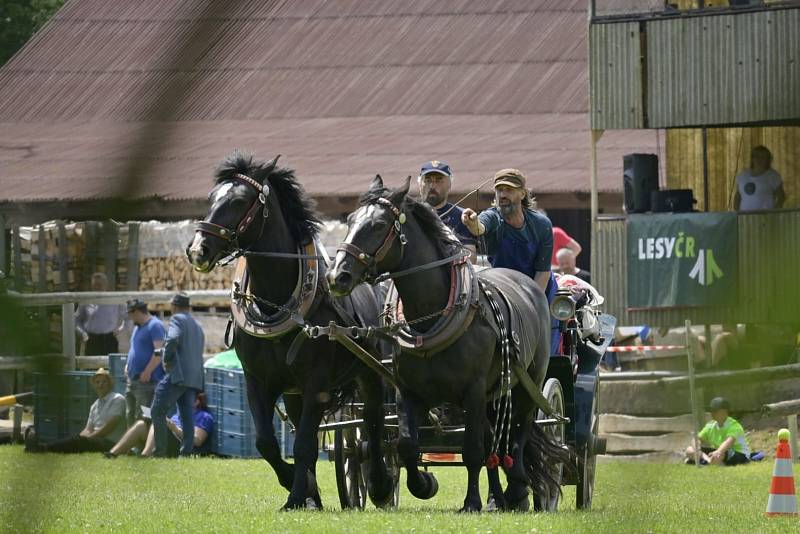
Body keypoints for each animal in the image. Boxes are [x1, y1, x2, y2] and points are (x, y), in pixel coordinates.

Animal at [188, 153, 394, 512]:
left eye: (239, 201)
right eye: (211, 198)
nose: (199, 250)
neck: (275, 302)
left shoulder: (317, 381)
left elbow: (303, 444)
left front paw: (297, 494)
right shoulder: (258, 380)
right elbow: (268, 442)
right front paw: (300, 489)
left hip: (370, 373)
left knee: (372, 422)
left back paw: (380, 486)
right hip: (296, 391)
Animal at [326, 177, 568, 516]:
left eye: (378, 225)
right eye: (349, 221)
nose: (337, 276)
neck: (433, 314)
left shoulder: (473, 390)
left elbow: (472, 450)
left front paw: (471, 502)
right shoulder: (408, 391)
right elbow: (406, 445)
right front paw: (423, 485)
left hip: (526, 384)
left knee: (517, 436)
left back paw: (516, 490)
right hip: (493, 396)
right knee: (495, 442)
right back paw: (497, 498)